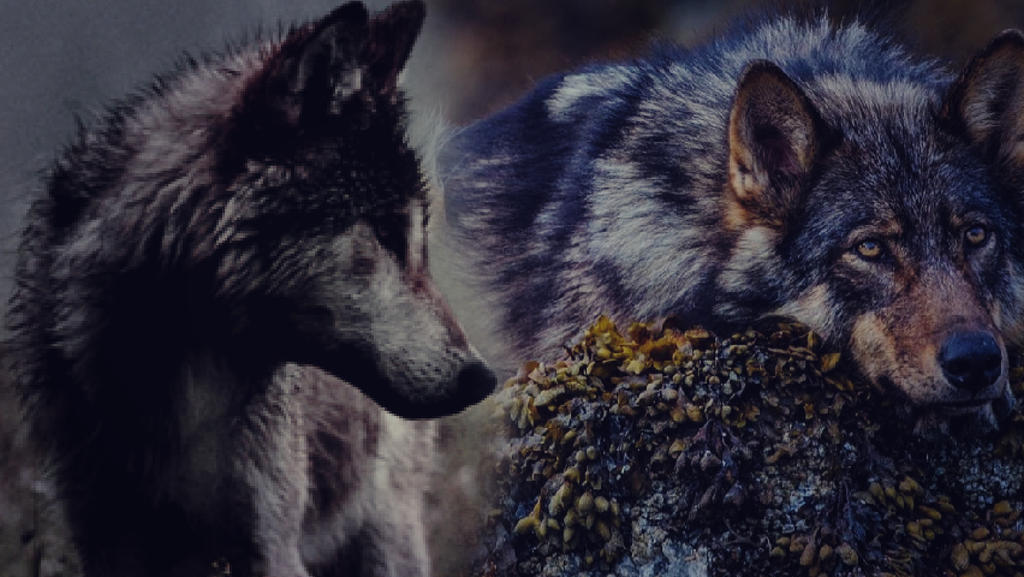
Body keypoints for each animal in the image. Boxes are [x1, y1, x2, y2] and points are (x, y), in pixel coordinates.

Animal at [6, 1, 496, 576]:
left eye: (418, 236)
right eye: (387, 233)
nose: (483, 378)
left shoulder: (269, 543)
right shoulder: (104, 537)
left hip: (387, 537)